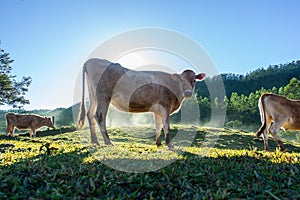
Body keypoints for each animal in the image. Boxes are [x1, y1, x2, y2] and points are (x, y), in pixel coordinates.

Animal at [77, 58, 206, 148]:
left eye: (194, 80)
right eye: (181, 80)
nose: (188, 93)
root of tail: (91, 60)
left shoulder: (157, 111)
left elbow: (158, 126)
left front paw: (158, 144)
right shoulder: (165, 106)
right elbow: (166, 125)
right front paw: (169, 144)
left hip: (93, 95)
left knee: (90, 114)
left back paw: (95, 142)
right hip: (103, 95)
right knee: (99, 116)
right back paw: (108, 142)